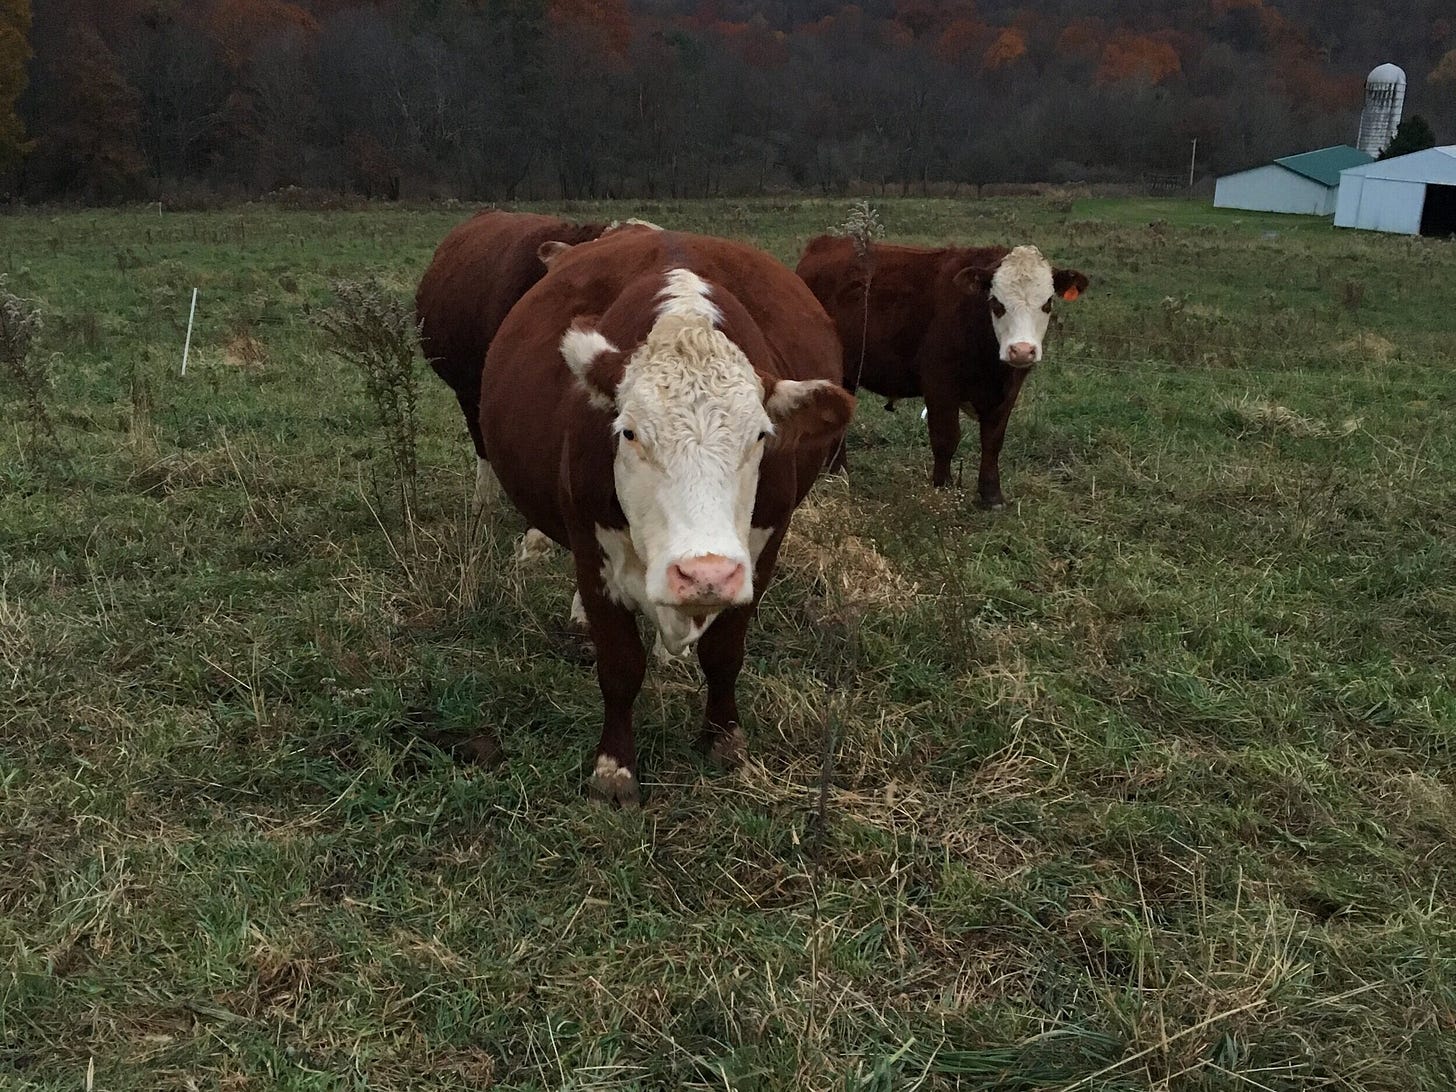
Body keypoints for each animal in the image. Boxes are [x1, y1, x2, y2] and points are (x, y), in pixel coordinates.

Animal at [480, 228, 855, 805]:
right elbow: (619, 665)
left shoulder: (759, 553)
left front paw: (723, 740)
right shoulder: (592, 551)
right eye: (629, 432)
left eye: (760, 435)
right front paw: (614, 770)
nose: (704, 573)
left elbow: (725, 653)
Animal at [796, 236, 1089, 507]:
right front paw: (943, 489)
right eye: (996, 302)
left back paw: (837, 472)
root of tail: (825, 242)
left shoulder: (1008, 391)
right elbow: (946, 438)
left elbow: (993, 440)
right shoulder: (939, 384)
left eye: (1047, 303)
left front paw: (992, 496)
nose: (1022, 350)